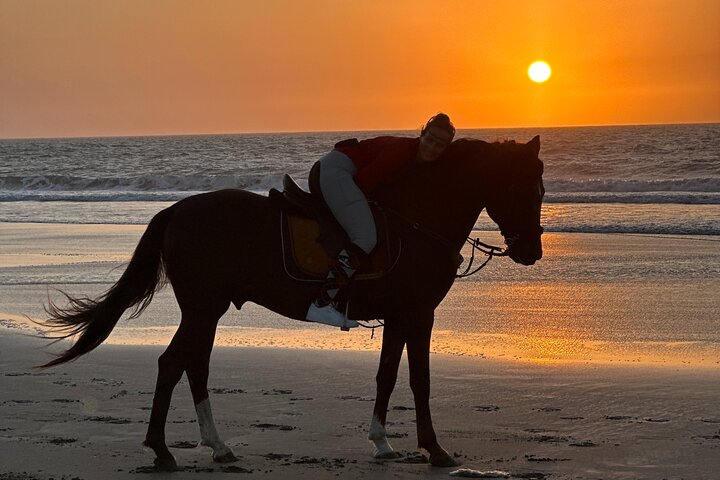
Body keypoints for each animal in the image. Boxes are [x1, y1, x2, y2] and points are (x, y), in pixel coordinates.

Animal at [39, 136, 545, 470]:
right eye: (521, 188)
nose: (532, 253)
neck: (418, 217)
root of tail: (178, 209)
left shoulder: (400, 317)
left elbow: (386, 376)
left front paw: (382, 443)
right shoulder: (420, 314)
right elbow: (420, 380)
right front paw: (435, 450)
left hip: (207, 310)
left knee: (193, 365)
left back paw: (217, 447)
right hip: (203, 308)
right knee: (173, 363)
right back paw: (163, 451)